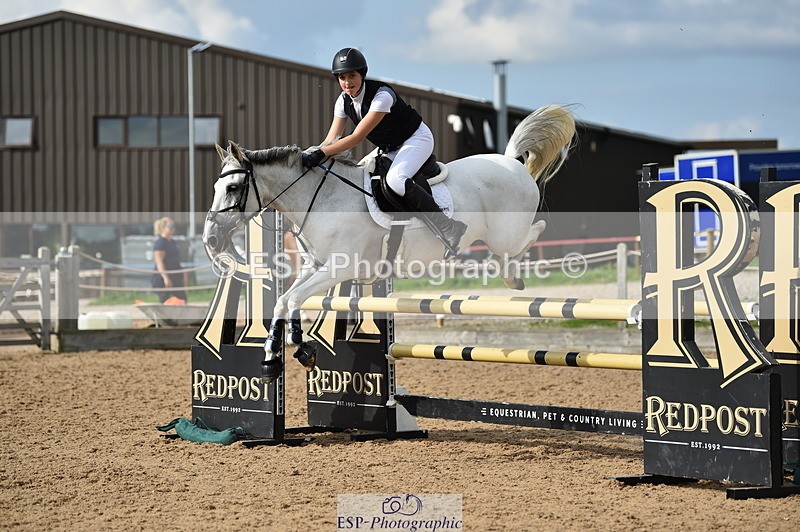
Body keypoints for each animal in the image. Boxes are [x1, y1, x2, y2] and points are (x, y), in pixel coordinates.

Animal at [203, 104, 576, 381]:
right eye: (216, 187)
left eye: (233, 188)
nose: (211, 239)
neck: (321, 198)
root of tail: (513, 164)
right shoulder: (317, 266)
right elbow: (285, 301)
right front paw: (280, 356)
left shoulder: (341, 268)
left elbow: (293, 298)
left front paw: (298, 349)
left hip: (506, 234)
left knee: (529, 234)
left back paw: (511, 275)